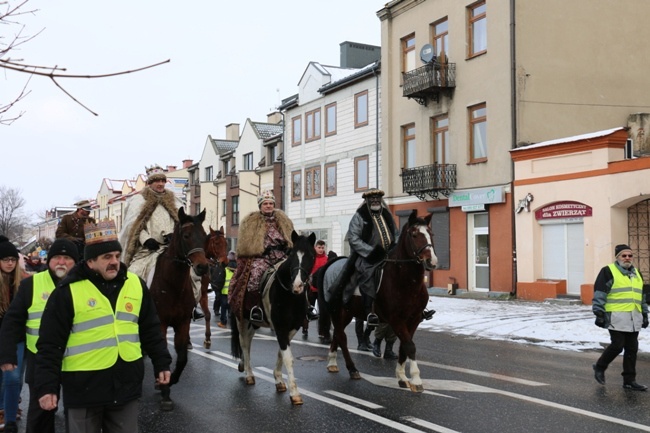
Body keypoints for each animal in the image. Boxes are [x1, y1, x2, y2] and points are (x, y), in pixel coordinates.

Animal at [148, 206, 209, 408]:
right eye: (186, 236)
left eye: (204, 236)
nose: (203, 267)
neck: (172, 284)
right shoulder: (160, 324)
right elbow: (163, 354)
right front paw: (164, 389)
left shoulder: (183, 322)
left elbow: (182, 358)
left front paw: (171, 380)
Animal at [230, 231, 316, 404]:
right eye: (292, 255)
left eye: (311, 255)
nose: (297, 285)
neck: (290, 295)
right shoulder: (280, 327)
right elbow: (288, 357)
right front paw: (294, 393)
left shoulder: (292, 328)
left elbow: (281, 354)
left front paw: (279, 380)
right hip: (241, 320)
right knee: (244, 344)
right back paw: (249, 374)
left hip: (253, 323)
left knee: (248, 341)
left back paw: (244, 366)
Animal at [316, 209, 436, 392]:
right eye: (414, 234)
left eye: (430, 233)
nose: (431, 261)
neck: (405, 281)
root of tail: (331, 263)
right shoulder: (396, 320)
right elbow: (409, 346)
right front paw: (415, 380)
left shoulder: (414, 319)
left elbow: (404, 347)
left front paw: (402, 377)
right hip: (337, 311)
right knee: (341, 337)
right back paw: (352, 369)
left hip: (347, 313)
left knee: (337, 334)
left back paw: (332, 362)